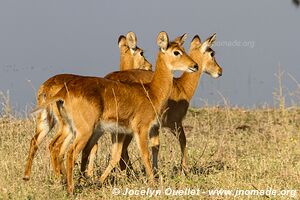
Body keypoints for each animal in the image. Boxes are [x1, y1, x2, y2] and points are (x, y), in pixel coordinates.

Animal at [22, 31, 152, 181]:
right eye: (142, 52)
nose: (150, 66)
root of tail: (46, 87)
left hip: (47, 120)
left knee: (36, 141)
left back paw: (29, 176)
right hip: (67, 126)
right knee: (56, 147)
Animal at [35, 31, 198, 194]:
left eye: (183, 49)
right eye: (176, 52)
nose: (194, 65)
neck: (152, 93)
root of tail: (62, 92)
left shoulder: (120, 132)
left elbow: (116, 156)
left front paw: (99, 182)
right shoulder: (141, 129)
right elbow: (145, 154)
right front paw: (152, 183)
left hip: (70, 127)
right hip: (84, 131)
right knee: (70, 153)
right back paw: (71, 189)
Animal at [82, 32, 223, 175]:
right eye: (212, 53)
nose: (219, 71)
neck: (181, 87)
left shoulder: (155, 127)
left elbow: (155, 145)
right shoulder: (175, 123)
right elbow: (182, 142)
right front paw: (184, 170)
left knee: (96, 146)